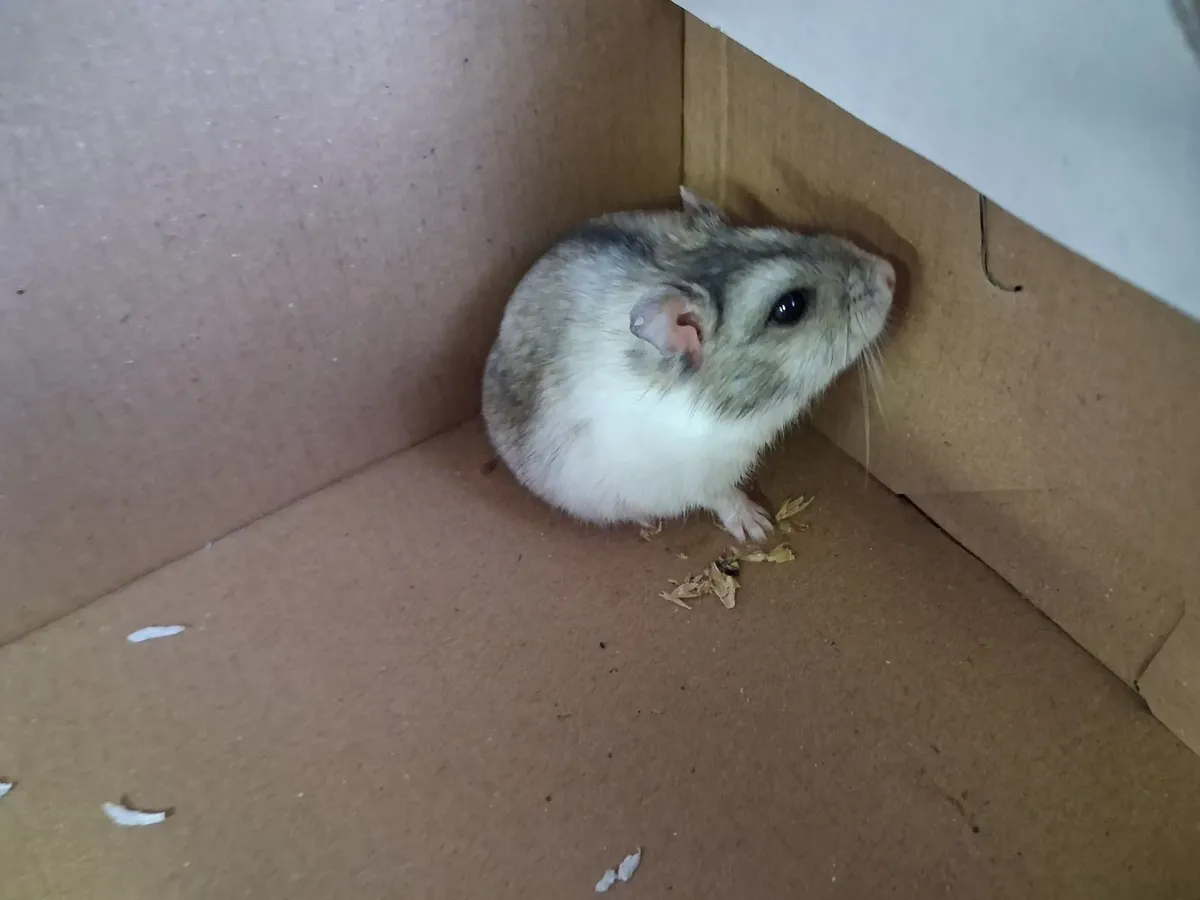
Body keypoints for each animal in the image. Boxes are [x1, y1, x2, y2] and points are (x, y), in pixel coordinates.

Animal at [481, 186, 895, 543]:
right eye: (790, 307)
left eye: (786, 232)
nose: (890, 272)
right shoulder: (701, 478)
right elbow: (723, 496)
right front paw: (759, 526)